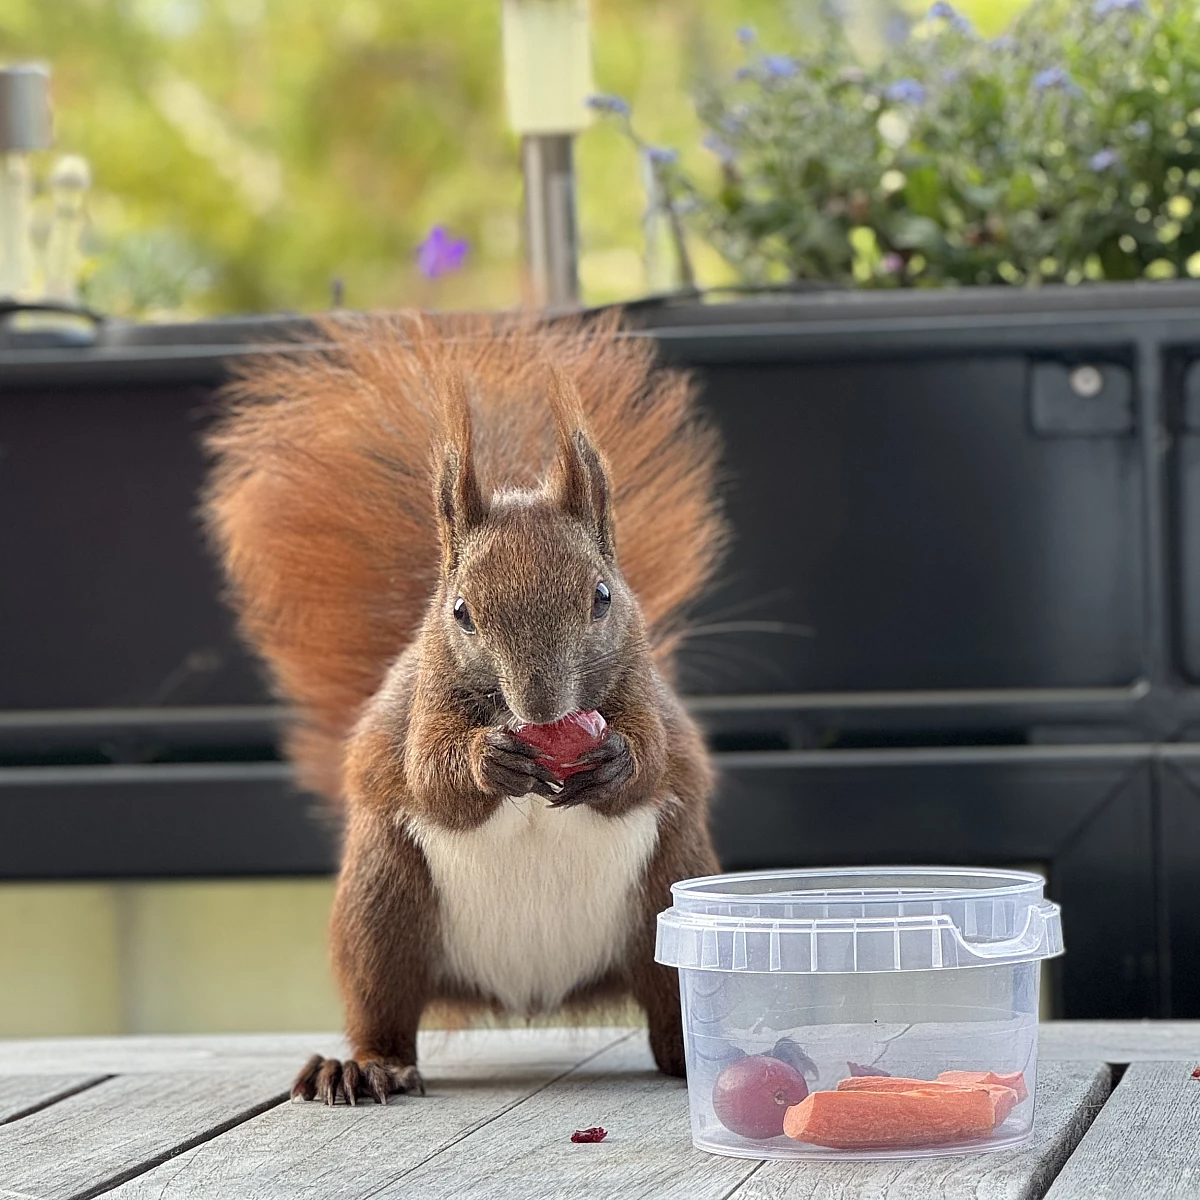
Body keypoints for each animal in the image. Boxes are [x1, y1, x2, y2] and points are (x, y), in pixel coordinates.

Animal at [205, 309, 724, 1104]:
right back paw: (362, 1066)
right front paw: (489, 760)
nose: (539, 706)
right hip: (381, 907)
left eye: (603, 596)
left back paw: (688, 1059)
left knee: (669, 1009)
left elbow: (658, 755)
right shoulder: (421, 707)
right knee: (383, 1006)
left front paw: (615, 759)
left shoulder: (649, 697)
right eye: (460, 612)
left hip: (666, 896)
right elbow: (430, 775)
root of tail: (529, 992)